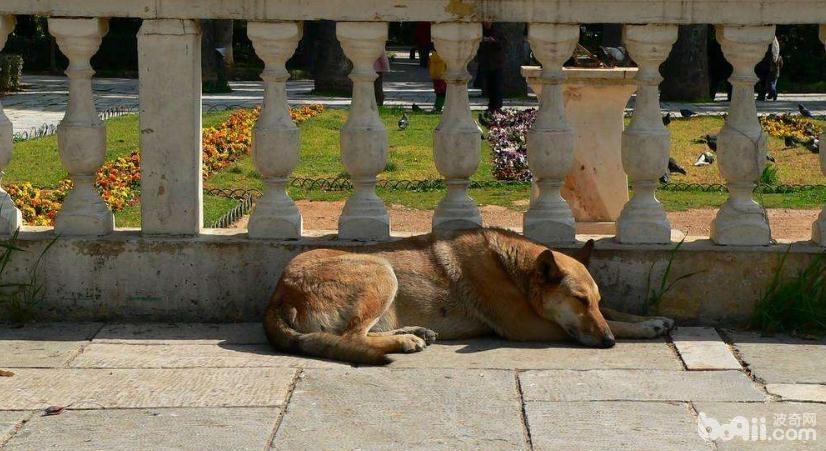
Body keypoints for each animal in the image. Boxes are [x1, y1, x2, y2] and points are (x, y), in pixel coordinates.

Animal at [268, 228, 672, 366]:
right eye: (579, 301)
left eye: (594, 300)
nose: (607, 342)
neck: (514, 270)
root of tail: (277, 295)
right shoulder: (531, 327)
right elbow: (616, 324)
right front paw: (643, 330)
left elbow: (620, 311)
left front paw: (653, 319)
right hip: (381, 271)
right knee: (352, 336)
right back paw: (405, 342)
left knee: (360, 335)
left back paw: (413, 333)